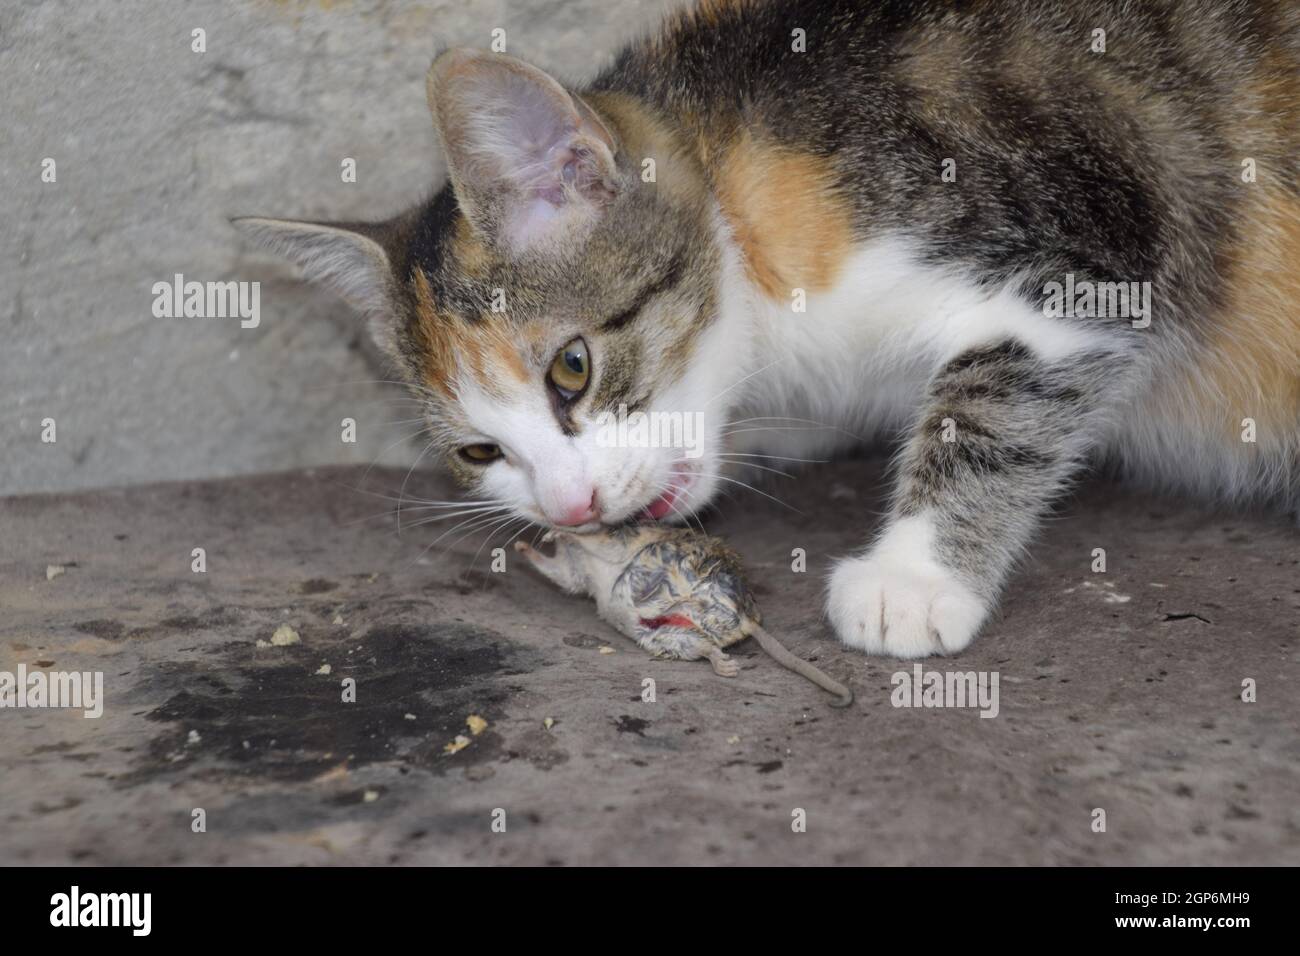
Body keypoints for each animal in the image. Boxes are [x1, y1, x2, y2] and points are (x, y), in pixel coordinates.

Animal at [236, 0, 1300, 658]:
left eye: (571, 368)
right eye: (478, 451)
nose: (572, 511)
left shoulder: (1088, 239)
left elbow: (994, 401)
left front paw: (913, 578)